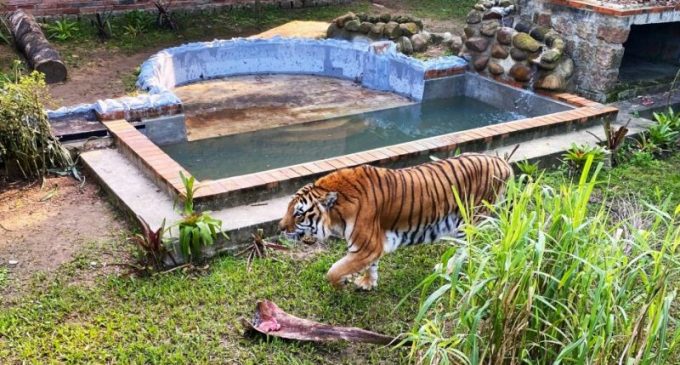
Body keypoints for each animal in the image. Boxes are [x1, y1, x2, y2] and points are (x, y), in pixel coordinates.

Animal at [276, 152, 510, 288]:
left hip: (470, 221)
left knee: (469, 249)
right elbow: (371, 266)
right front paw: (367, 283)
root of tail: (501, 161)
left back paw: (450, 268)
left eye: (298, 214)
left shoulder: (366, 247)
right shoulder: (370, 248)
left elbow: (333, 271)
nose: (280, 228)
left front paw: (341, 283)